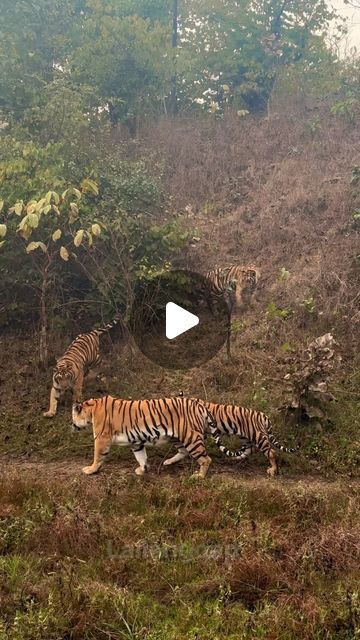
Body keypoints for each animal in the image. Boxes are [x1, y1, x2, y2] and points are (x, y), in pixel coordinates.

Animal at [70, 392, 245, 478]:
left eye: (73, 417)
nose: (71, 425)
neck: (92, 408)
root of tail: (198, 403)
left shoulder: (101, 438)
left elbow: (98, 456)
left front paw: (90, 470)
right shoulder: (136, 442)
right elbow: (141, 456)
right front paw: (143, 470)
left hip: (190, 437)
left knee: (205, 458)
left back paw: (199, 476)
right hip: (179, 437)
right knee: (183, 451)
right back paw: (168, 462)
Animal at [170, 392, 300, 478]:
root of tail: (263, 415)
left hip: (257, 436)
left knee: (271, 452)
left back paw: (272, 470)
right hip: (245, 437)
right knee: (250, 449)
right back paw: (234, 458)